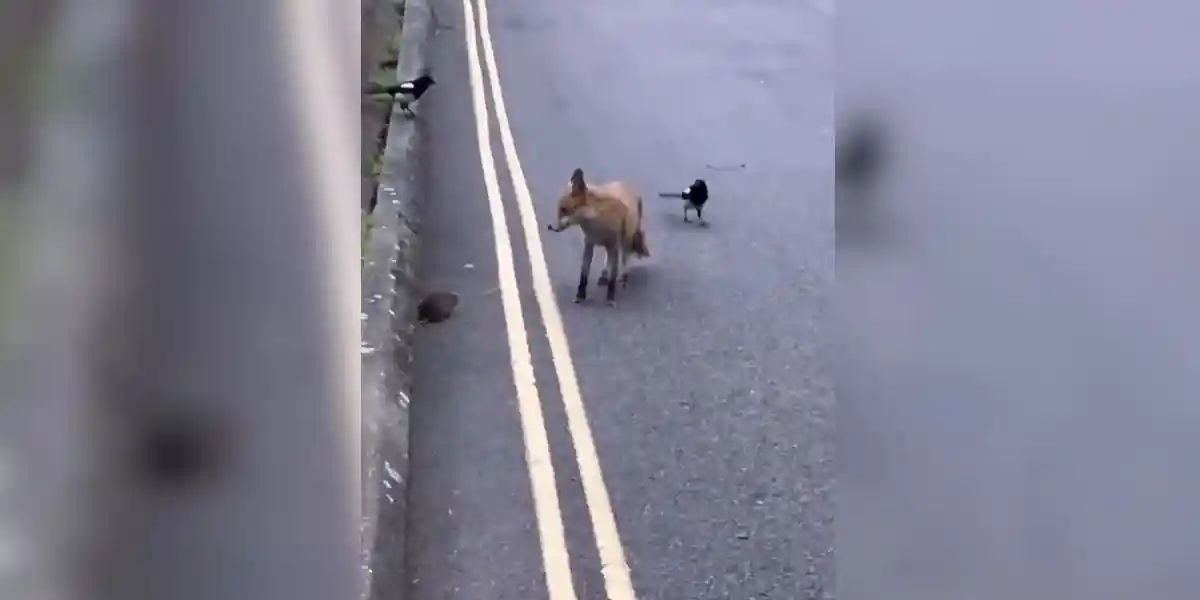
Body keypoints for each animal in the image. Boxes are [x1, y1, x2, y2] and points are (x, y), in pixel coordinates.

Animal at [549, 169, 652, 309]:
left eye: (563, 209)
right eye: (559, 209)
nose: (550, 227)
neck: (598, 224)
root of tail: (625, 183)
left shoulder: (614, 246)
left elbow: (613, 278)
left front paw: (610, 298)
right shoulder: (589, 244)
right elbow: (584, 274)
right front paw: (580, 296)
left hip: (625, 240)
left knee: (625, 258)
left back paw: (623, 276)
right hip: (609, 245)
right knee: (608, 258)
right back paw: (603, 276)